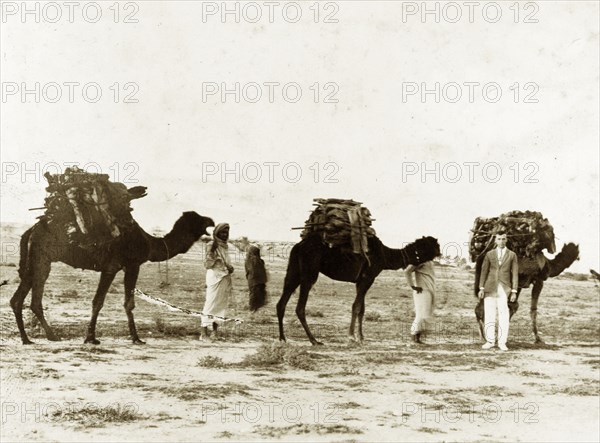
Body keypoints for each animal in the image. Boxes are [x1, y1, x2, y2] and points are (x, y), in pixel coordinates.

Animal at [10, 212, 214, 346]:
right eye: (198, 218)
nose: (211, 220)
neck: (149, 242)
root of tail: (31, 231)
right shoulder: (125, 266)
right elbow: (114, 302)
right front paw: (134, 338)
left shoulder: (118, 267)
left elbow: (103, 301)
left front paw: (91, 337)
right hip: (42, 258)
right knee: (34, 300)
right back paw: (51, 336)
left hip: (35, 261)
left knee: (17, 299)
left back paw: (27, 339)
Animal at [276, 234, 440, 346]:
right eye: (432, 245)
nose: (440, 252)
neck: (385, 256)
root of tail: (298, 246)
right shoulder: (368, 278)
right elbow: (356, 306)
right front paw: (351, 336)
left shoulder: (361, 281)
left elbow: (362, 309)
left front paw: (361, 337)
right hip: (309, 273)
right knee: (300, 307)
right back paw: (314, 340)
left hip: (294, 271)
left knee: (281, 303)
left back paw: (283, 338)